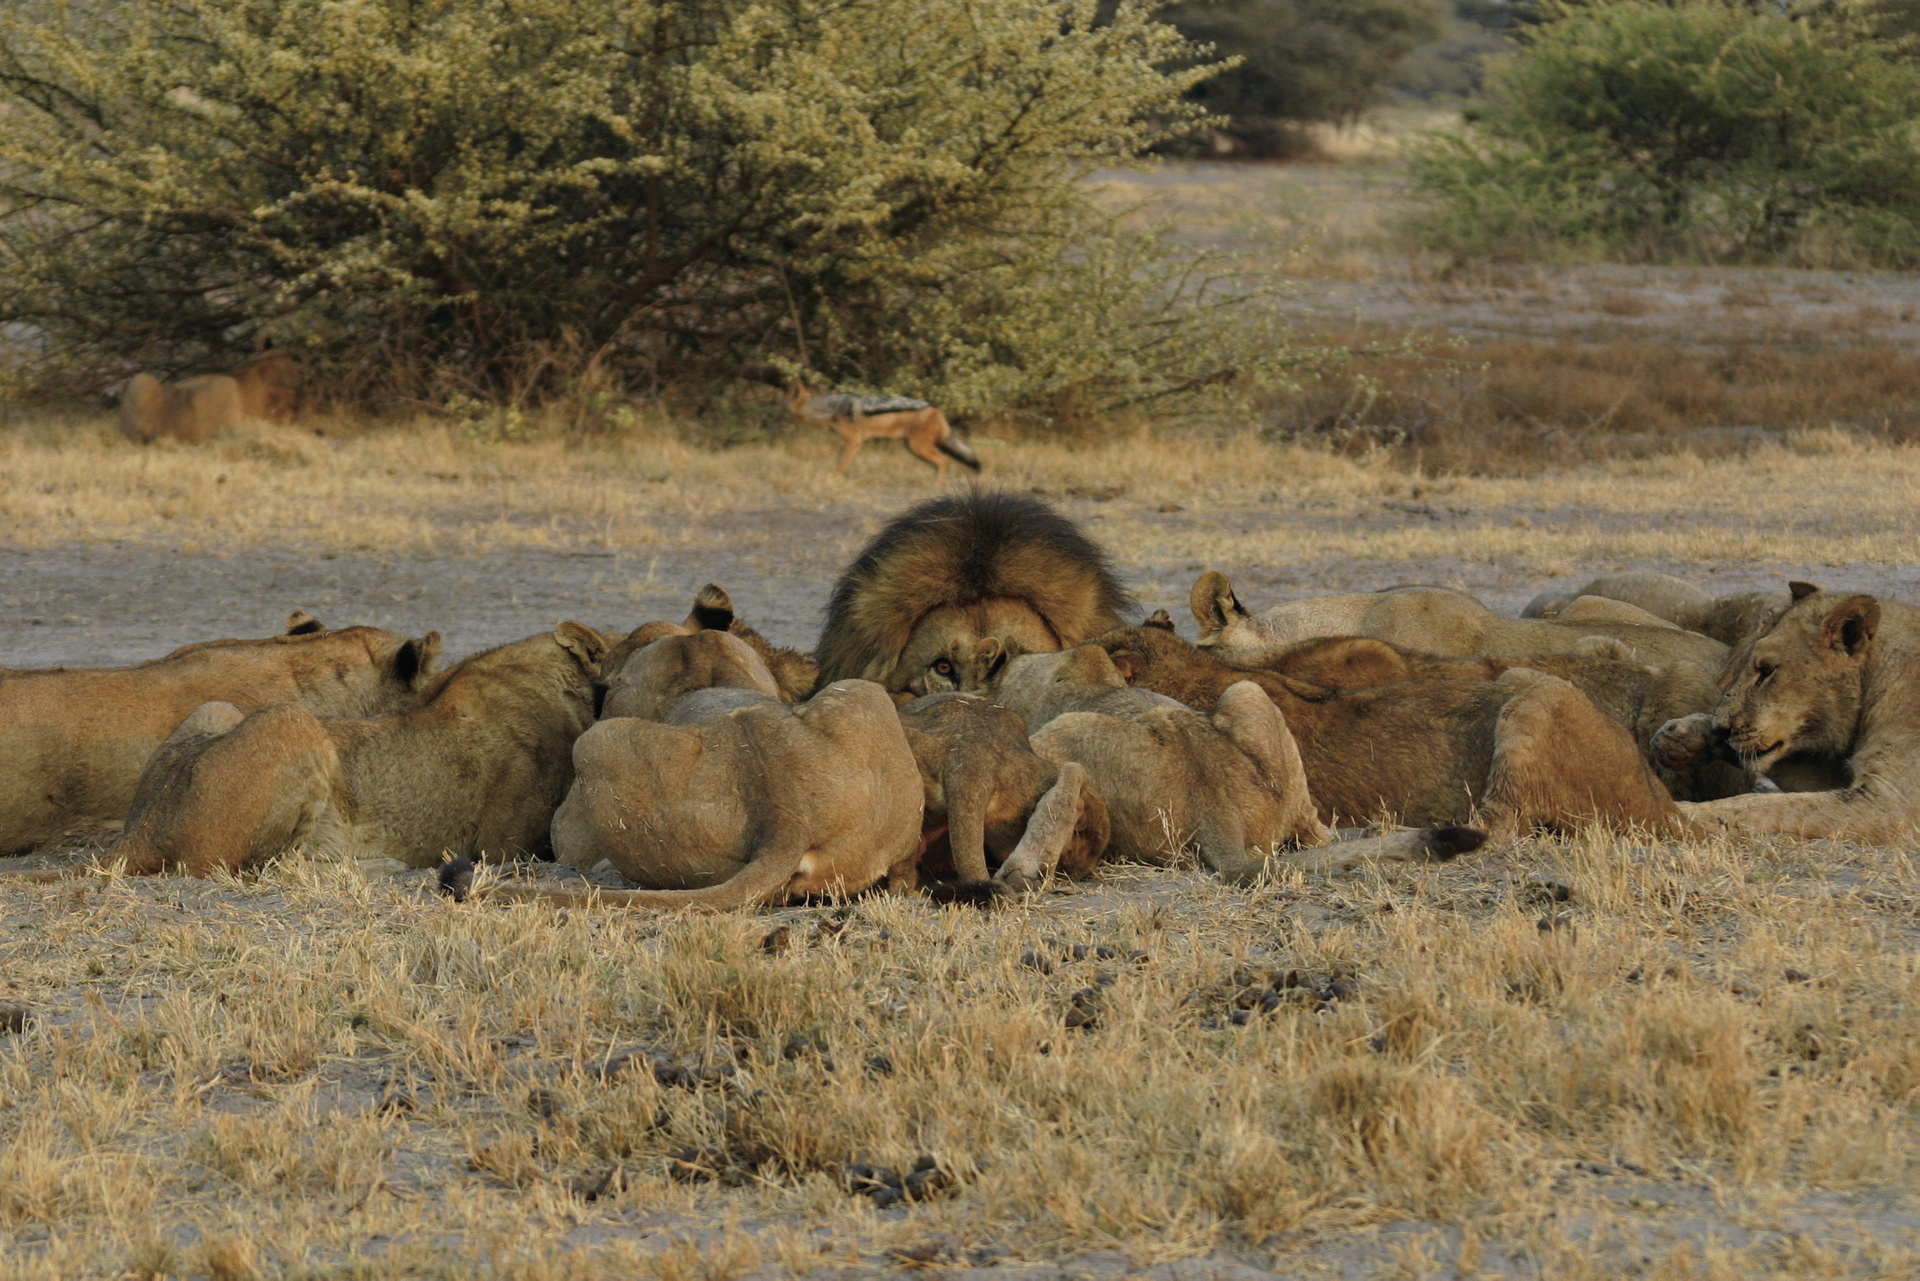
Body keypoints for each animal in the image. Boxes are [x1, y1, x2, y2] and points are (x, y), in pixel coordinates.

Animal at [103, 626, 606, 875]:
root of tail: (138, 833)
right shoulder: (505, 845)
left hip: (217, 710)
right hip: (295, 723)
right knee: (266, 868)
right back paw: (385, 864)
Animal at [1651, 580, 1920, 841]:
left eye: (1766, 671)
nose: (1721, 728)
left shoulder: (1887, 802)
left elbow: (1763, 806)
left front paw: (1679, 812)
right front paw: (1679, 736)